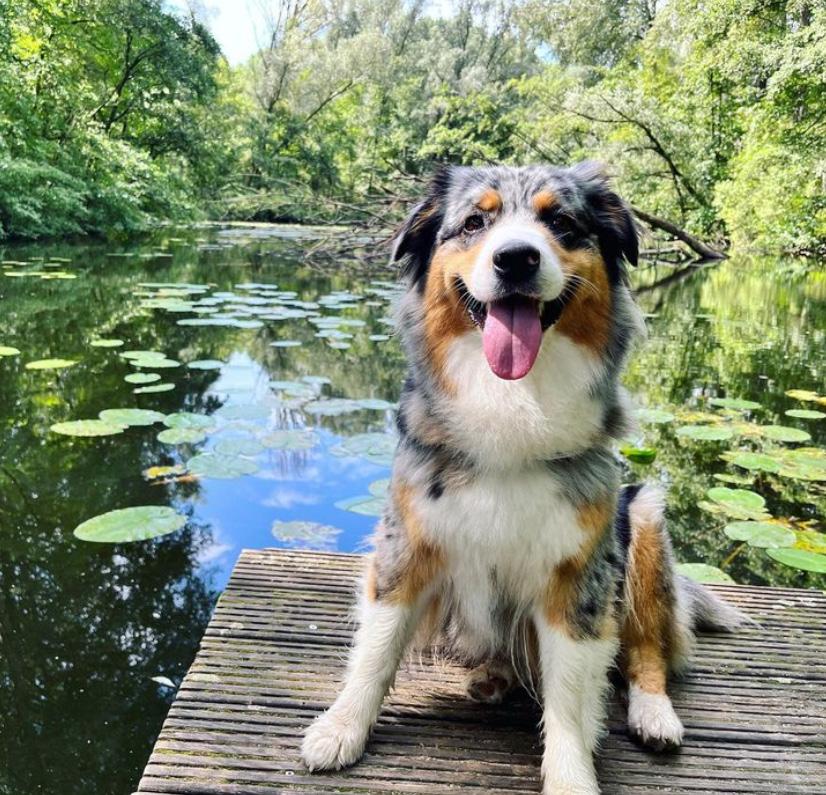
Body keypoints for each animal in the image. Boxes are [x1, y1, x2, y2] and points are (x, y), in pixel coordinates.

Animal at [301, 163, 744, 794]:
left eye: (561, 222)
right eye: (473, 223)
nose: (516, 259)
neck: (511, 398)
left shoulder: (578, 580)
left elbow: (569, 700)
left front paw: (572, 778)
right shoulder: (406, 543)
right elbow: (376, 649)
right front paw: (341, 729)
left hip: (643, 519)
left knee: (648, 650)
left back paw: (654, 712)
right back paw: (493, 675)